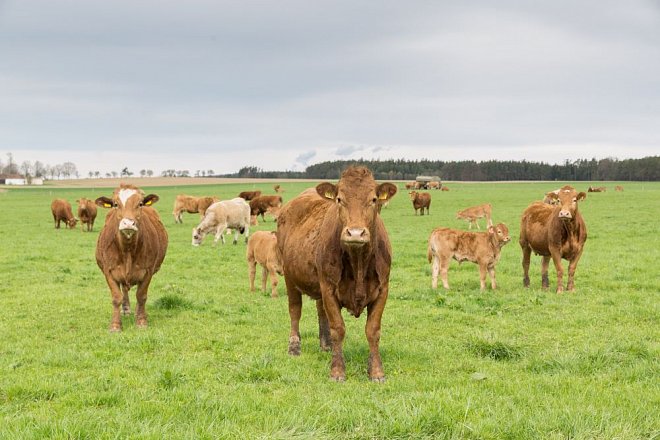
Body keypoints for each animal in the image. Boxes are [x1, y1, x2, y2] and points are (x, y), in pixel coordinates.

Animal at [94, 182, 168, 330]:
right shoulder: (108, 271)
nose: (128, 223)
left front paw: (141, 321)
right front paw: (115, 325)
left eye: (140, 204)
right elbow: (116, 297)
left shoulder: (148, 271)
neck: (127, 250)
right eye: (115, 204)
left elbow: (141, 296)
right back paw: (126, 309)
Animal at [274, 166, 398, 382]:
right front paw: (337, 371)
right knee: (295, 311)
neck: (358, 262)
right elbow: (338, 328)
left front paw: (376, 371)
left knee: (320, 309)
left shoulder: (383, 289)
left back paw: (326, 345)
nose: (355, 233)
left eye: (374, 199)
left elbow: (373, 330)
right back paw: (294, 347)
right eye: (340, 199)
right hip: (290, 277)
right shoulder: (329, 289)